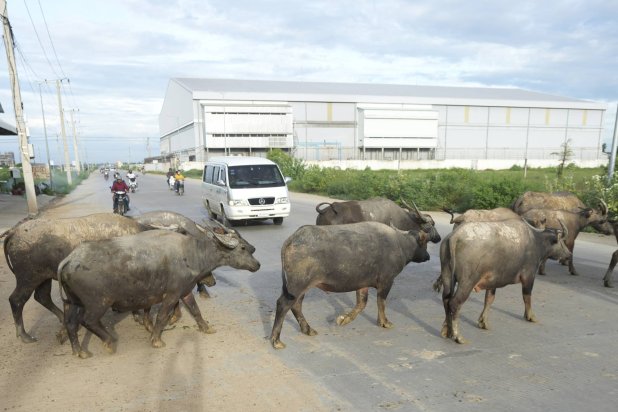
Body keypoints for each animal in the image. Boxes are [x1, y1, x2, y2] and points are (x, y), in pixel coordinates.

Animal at [58, 229, 260, 358]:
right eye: (242, 248)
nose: (257, 264)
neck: (192, 254)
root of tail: (70, 259)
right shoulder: (171, 295)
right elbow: (162, 317)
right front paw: (156, 340)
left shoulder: (185, 291)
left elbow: (195, 311)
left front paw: (207, 328)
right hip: (98, 302)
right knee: (88, 321)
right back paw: (109, 342)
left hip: (74, 302)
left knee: (70, 323)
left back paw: (80, 351)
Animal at [270, 224, 428, 350]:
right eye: (424, 243)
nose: (427, 256)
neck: (400, 244)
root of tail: (293, 239)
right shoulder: (387, 281)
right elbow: (381, 303)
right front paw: (384, 322)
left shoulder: (362, 284)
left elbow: (361, 304)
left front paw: (344, 319)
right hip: (297, 285)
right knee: (283, 304)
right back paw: (276, 340)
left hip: (300, 287)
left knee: (296, 305)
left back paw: (308, 330)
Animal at [434, 219, 568, 344]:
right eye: (561, 242)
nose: (568, 253)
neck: (536, 241)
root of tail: (455, 236)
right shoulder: (529, 276)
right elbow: (527, 297)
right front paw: (530, 316)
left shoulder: (492, 281)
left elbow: (489, 300)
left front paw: (483, 322)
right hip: (467, 282)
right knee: (454, 303)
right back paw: (458, 337)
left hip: (447, 276)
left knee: (446, 300)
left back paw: (447, 330)